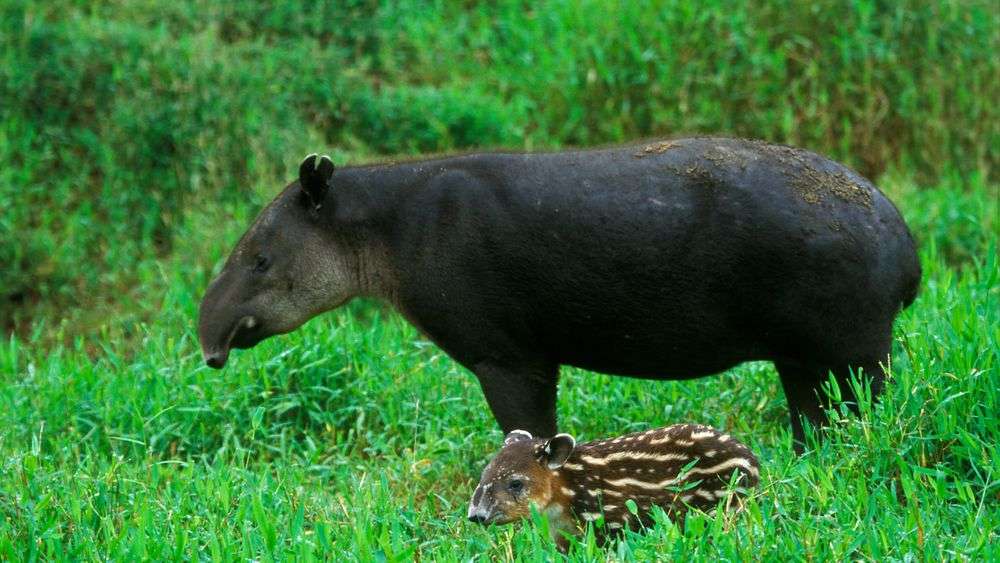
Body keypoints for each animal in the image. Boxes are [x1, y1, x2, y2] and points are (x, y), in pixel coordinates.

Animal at [197, 138, 920, 450]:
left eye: (260, 259)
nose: (210, 340)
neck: (382, 232)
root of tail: (907, 253)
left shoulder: (506, 352)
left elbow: (530, 428)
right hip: (802, 348)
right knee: (813, 413)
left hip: (854, 334)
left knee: (865, 403)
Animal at [468, 426, 756, 548]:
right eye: (483, 476)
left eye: (516, 483)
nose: (476, 516)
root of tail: (753, 462)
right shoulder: (563, 534)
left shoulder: (611, 523)